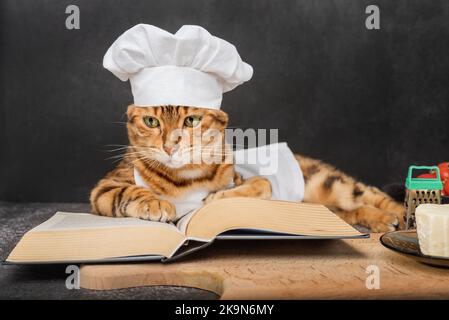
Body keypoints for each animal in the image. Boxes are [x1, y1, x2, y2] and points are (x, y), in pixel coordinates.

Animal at [89, 105, 404, 232]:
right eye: (151, 122)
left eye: (191, 120)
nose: (170, 146)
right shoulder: (106, 188)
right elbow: (131, 192)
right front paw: (156, 204)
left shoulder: (243, 176)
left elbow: (260, 184)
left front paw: (217, 199)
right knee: (352, 210)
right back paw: (383, 220)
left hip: (328, 181)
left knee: (371, 193)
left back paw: (400, 215)